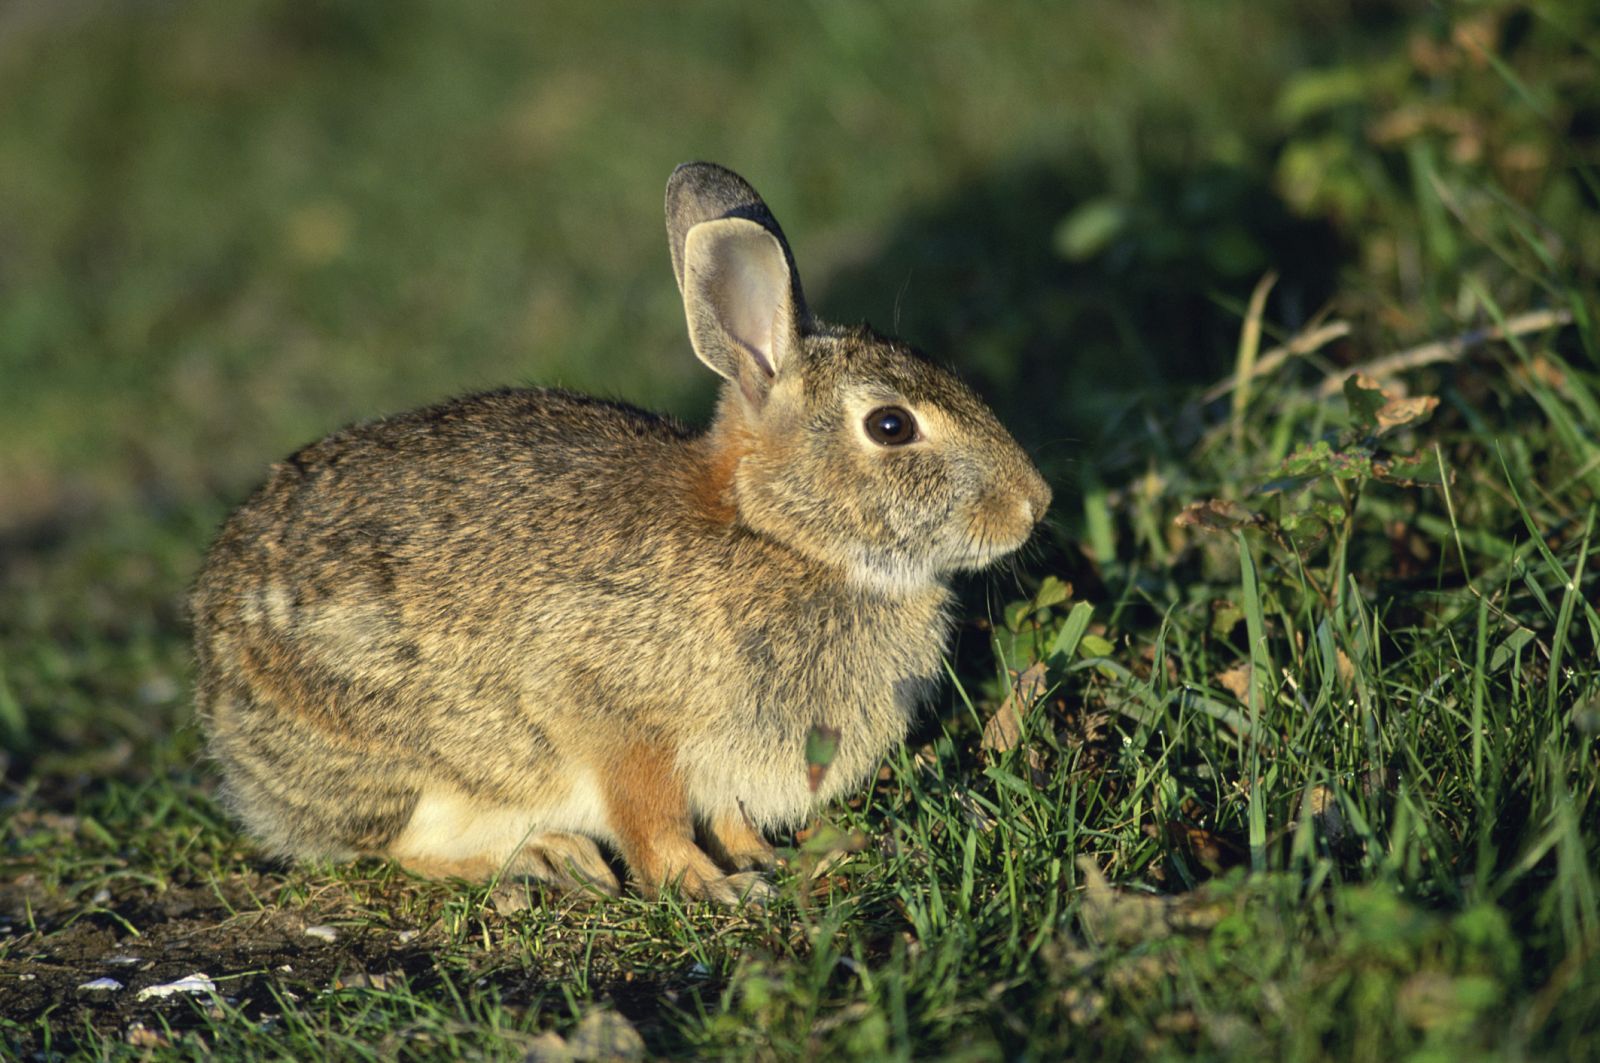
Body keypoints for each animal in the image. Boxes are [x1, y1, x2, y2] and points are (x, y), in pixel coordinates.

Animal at [191, 162, 1051, 904]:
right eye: (890, 425)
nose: (1034, 504)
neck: (776, 534)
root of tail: (216, 678)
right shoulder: (612, 712)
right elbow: (650, 816)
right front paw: (709, 886)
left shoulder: (725, 761)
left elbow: (726, 814)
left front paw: (761, 860)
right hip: (412, 761)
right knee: (401, 845)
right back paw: (548, 857)